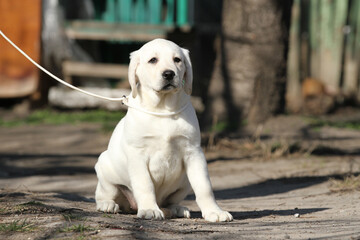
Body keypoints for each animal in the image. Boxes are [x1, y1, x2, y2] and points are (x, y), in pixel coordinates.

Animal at [94, 38, 232, 223]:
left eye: (177, 60)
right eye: (153, 60)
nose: (169, 74)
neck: (163, 108)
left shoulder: (193, 152)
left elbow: (204, 186)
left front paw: (214, 211)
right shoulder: (137, 154)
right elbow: (145, 184)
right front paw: (149, 209)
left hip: (184, 183)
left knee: (172, 200)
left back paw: (177, 209)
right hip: (105, 170)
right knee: (103, 194)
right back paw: (108, 205)